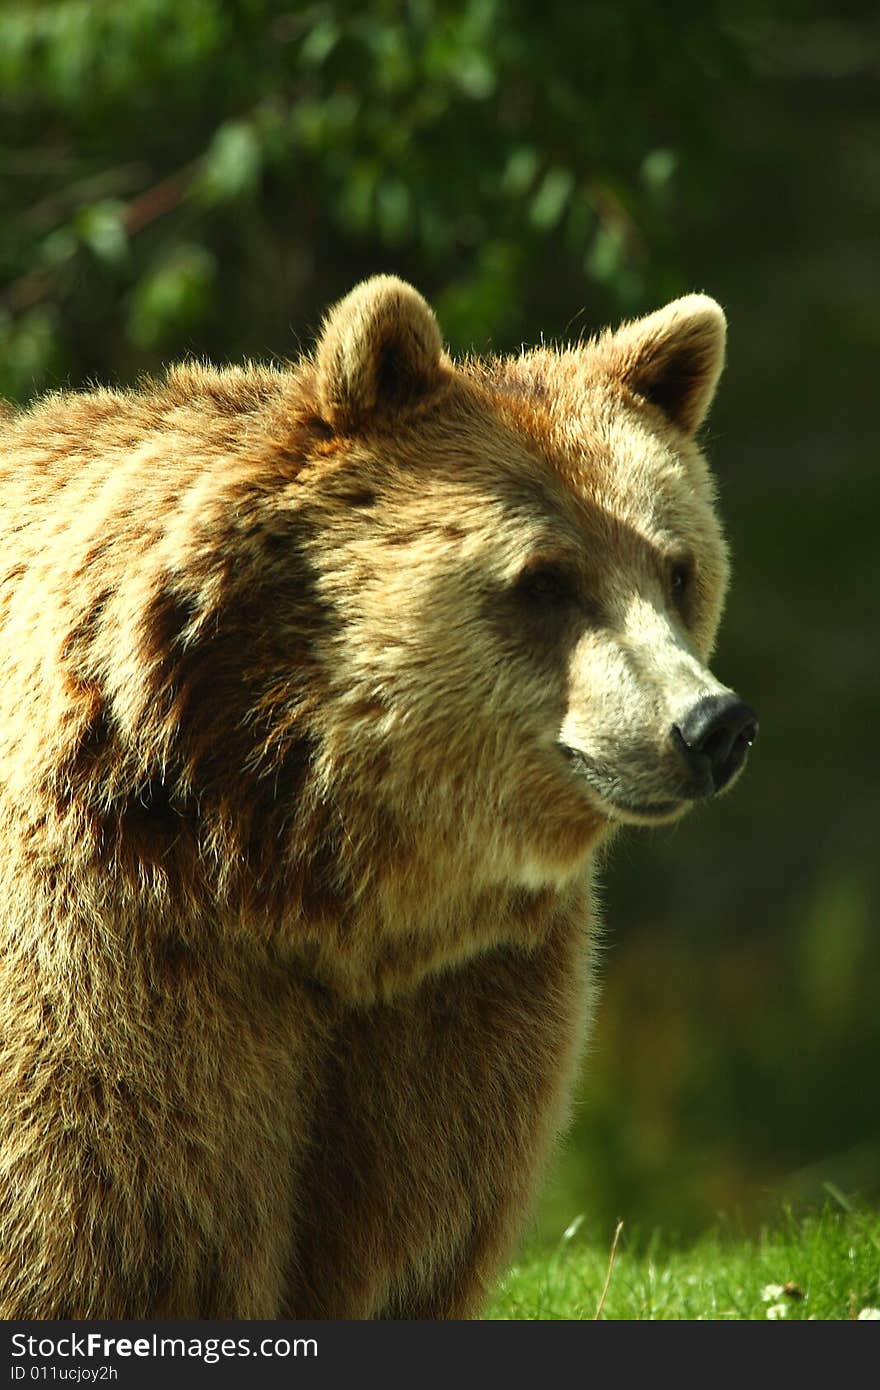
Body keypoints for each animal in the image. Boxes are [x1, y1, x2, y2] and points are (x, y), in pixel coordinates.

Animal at [0, 276, 756, 1317]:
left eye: (677, 569)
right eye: (544, 580)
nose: (709, 724)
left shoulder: (455, 1005)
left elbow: (410, 1231)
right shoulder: (114, 950)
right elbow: (101, 1211)